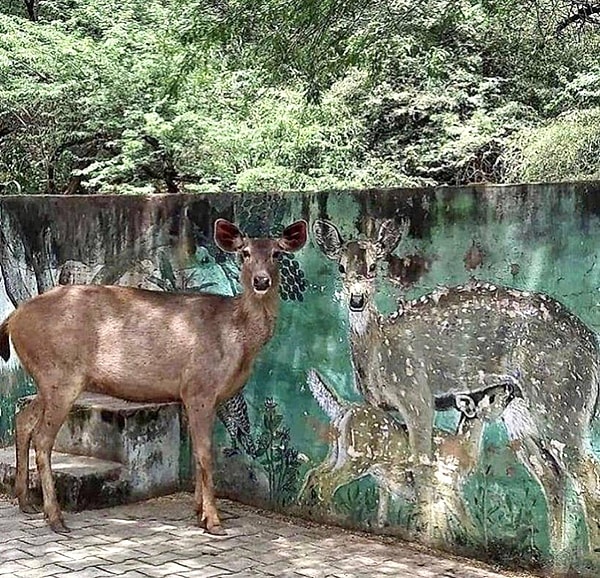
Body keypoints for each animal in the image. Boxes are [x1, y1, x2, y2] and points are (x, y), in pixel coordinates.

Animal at [0, 218, 308, 532]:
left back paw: (26, 501)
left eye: (277, 254)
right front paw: (212, 520)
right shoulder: (199, 387)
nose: (261, 281)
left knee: (23, 420)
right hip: (61, 375)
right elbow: (205, 453)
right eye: (244, 253)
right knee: (42, 438)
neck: (238, 338)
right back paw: (54, 517)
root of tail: (13, 318)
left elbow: (198, 453)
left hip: (47, 378)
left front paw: (198, 510)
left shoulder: (206, 396)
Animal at [312, 217, 600, 560]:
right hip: (521, 416)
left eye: (373, 266)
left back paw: (585, 557)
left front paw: (426, 534)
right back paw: (555, 556)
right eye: (341, 266)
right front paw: (386, 524)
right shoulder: (377, 405)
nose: (357, 300)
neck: (379, 349)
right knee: (552, 475)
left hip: (564, 402)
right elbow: (385, 473)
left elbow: (422, 462)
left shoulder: (417, 395)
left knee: (585, 472)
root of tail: (592, 347)